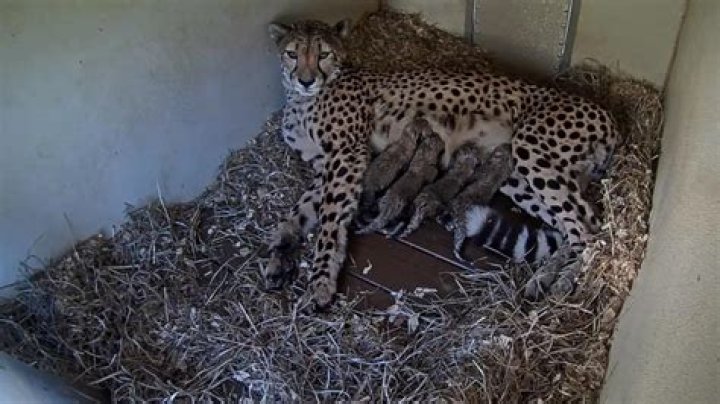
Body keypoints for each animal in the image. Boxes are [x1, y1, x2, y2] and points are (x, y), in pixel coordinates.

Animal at [263, 19, 618, 310]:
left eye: (323, 54)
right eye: (292, 54)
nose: (306, 80)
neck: (302, 99)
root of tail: (607, 115)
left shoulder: (346, 155)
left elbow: (329, 220)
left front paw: (321, 282)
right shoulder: (326, 165)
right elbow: (298, 212)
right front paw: (279, 253)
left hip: (532, 153)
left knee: (588, 230)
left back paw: (563, 282)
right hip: (518, 175)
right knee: (573, 227)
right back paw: (542, 278)